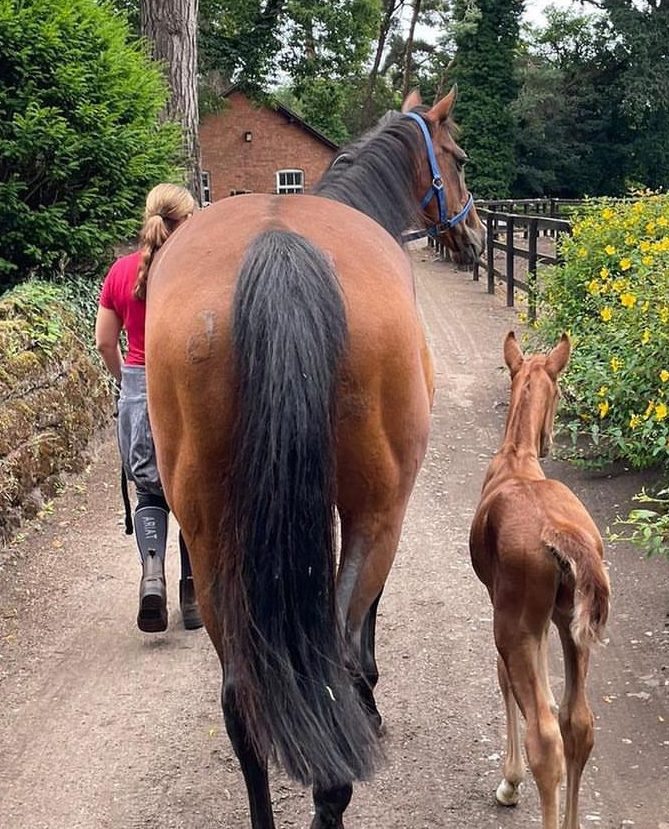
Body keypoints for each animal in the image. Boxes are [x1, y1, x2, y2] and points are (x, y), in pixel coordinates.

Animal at [143, 86, 483, 829]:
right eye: (458, 156)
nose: (473, 236)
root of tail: (280, 245)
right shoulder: (378, 513)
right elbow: (364, 633)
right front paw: (373, 712)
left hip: (212, 534)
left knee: (240, 700)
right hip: (377, 513)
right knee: (335, 667)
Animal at [469, 332, 611, 829]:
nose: (549, 441)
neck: (516, 458)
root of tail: (559, 531)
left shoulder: (501, 608)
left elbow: (502, 678)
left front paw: (509, 783)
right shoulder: (550, 621)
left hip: (514, 625)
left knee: (546, 741)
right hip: (575, 625)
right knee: (578, 723)